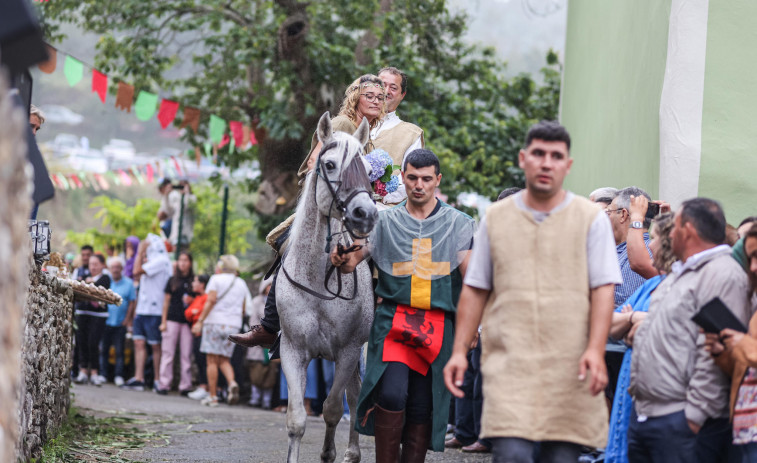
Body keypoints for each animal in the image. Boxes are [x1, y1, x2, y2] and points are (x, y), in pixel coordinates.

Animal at [276, 112, 376, 463]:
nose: (365, 214)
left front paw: (329, 453)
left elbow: (332, 409)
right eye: (330, 165)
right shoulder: (293, 350)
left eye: (368, 170)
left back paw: (352, 453)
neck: (317, 278)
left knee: (357, 397)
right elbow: (296, 420)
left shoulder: (347, 351)